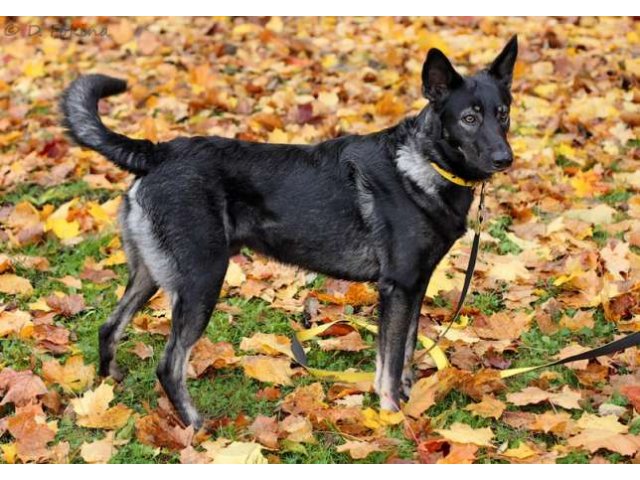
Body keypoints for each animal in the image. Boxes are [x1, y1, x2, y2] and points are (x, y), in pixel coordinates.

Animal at [62, 36, 516, 428]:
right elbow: (387, 363)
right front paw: (391, 415)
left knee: (109, 327)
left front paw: (407, 397)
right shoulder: (398, 288)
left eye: (503, 114)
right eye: (469, 118)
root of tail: (156, 153)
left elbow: (404, 351)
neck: (424, 163)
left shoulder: (416, 286)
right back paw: (194, 426)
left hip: (150, 277)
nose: (505, 159)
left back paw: (109, 388)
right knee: (169, 365)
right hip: (201, 282)